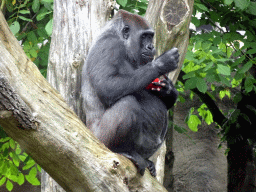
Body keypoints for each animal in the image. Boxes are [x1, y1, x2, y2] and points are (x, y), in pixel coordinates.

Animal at [81, 9, 178, 176]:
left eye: (150, 36)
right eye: (144, 36)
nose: (151, 47)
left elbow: (166, 103)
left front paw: (168, 90)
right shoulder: (108, 46)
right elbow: (107, 86)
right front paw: (160, 64)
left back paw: (146, 160)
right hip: (98, 140)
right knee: (127, 103)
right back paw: (120, 150)